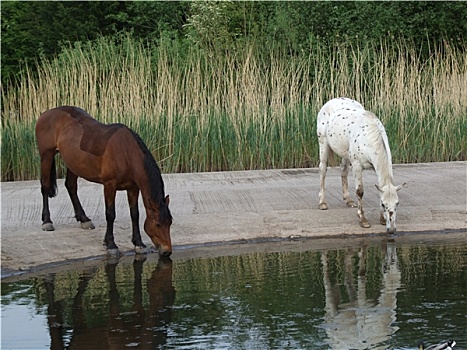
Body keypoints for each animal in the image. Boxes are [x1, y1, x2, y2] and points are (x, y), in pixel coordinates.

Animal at [35, 105, 173, 256]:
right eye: (158, 224)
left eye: (170, 222)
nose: (167, 251)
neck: (126, 153)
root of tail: (47, 113)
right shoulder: (109, 185)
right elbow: (110, 214)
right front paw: (111, 244)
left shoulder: (133, 188)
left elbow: (134, 214)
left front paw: (138, 243)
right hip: (46, 155)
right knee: (45, 186)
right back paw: (47, 221)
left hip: (73, 162)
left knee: (71, 186)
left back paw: (84, 219)